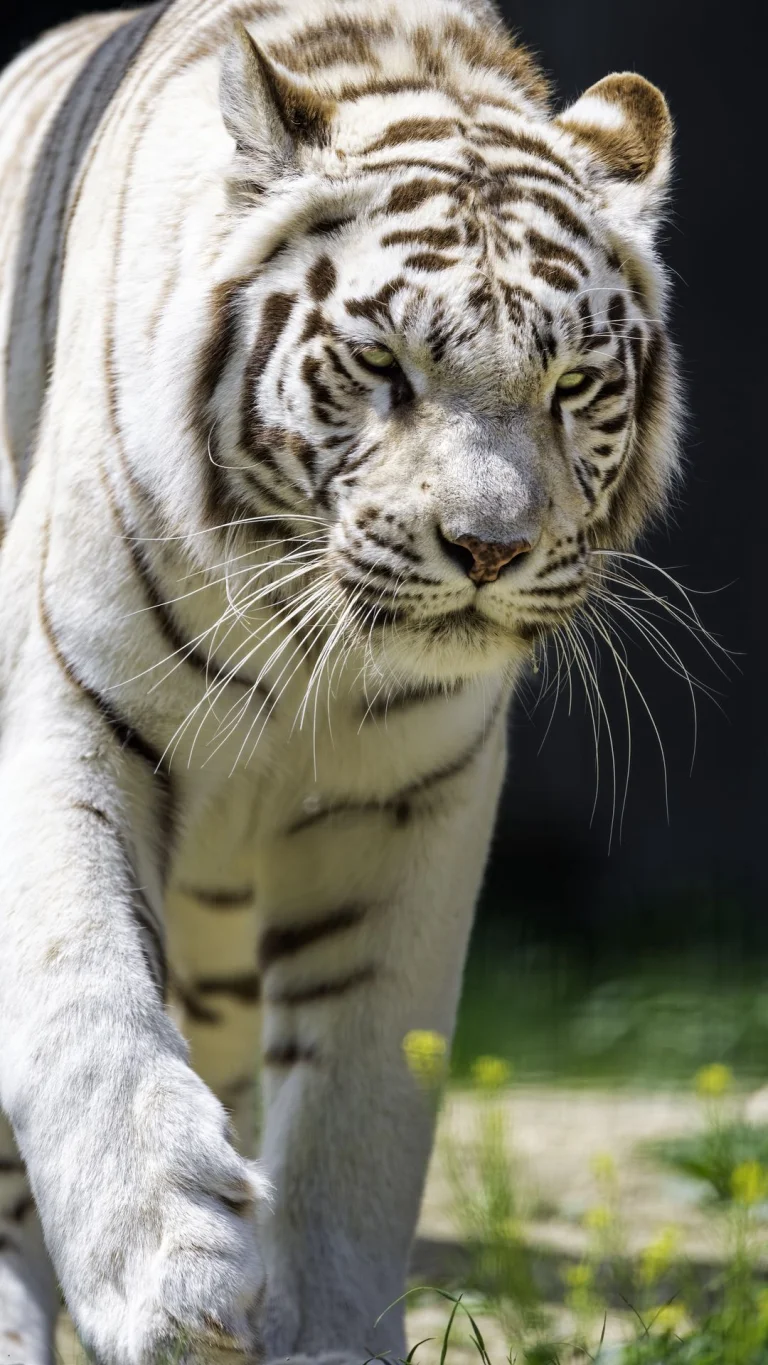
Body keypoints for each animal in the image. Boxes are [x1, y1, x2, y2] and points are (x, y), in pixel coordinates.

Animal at [0, 0, 681, 1360]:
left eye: (574, 384)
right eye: (383, 367)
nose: (489, 548)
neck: (303, 639)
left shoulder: (414, 794)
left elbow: (366, 1097)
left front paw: (316, 1326)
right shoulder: (66, 702)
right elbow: (84, 990)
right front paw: (169, 1274)